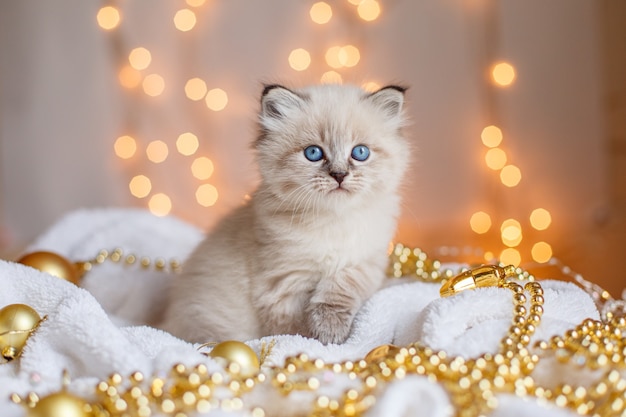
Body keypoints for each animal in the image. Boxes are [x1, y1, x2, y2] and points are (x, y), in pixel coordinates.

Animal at [162, 83, 410, 342]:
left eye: (360, 153)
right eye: (313, 153)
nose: (339, 175)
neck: (333, 220)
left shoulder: (365, 260)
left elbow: (341, 289)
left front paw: (330, 329)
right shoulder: (285, 281)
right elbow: (294, 330)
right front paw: (321, 339)